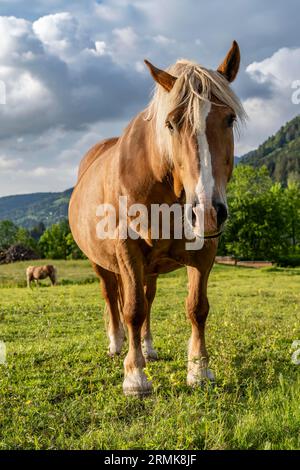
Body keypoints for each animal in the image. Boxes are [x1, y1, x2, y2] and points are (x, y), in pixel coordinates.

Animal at [69, 41, 246, 396]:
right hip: (103, 264)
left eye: (229, 118)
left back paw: (148, 347)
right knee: (113, 298)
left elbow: (197, 308)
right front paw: (135, 377)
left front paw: (199, 370)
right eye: (172, 124)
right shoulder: (128, 252)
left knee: (148, 298)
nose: (207, 211)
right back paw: (117, 343)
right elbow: (132, 310)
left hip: (148, 268)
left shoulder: (204, 252)